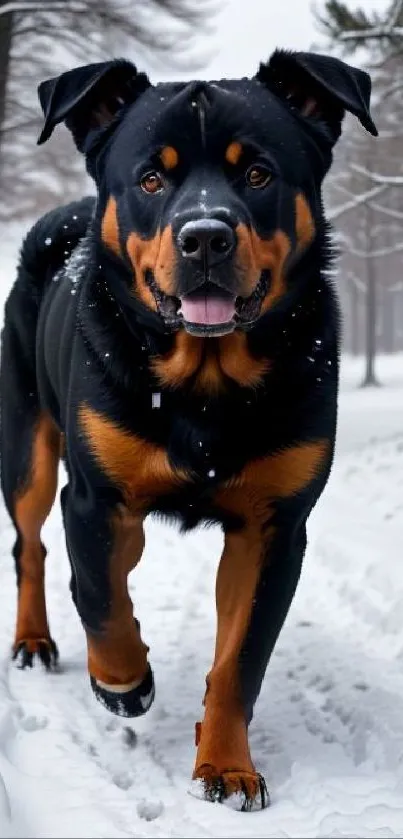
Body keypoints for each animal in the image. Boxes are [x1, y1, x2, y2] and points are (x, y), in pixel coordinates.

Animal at [1, 49, 378, 812]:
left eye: (257, 173)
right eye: (151, 177)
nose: (205, 234)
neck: (205, 386)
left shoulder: (273, 526)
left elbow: (239, 660)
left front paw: (227, 766)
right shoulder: (94, 497)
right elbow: (102, 601)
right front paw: (123, 683)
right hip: (26, 445)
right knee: (33, 546)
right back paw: (34, 640)